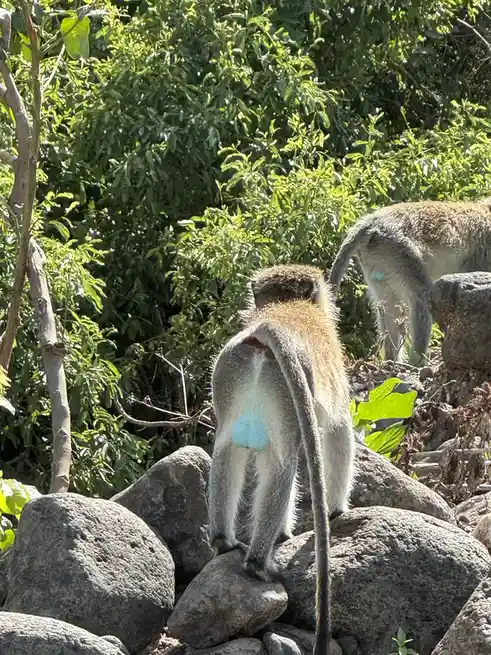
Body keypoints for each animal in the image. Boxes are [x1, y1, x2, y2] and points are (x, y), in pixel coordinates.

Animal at [208, 264, 355, 655]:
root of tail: (266, 328)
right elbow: (339, 430)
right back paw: (258, 565)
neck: (286, 305)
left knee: (226, 450)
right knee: (284, 463)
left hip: (229, 372)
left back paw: (223, 542)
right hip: (287, 390)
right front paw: (337, 509)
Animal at [328, 198, 491, 366]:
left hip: (377, 260)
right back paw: (417, 362)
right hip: (398, 249)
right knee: (423, 297)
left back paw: (392, 360)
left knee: (390, 306)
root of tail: (372, 223)